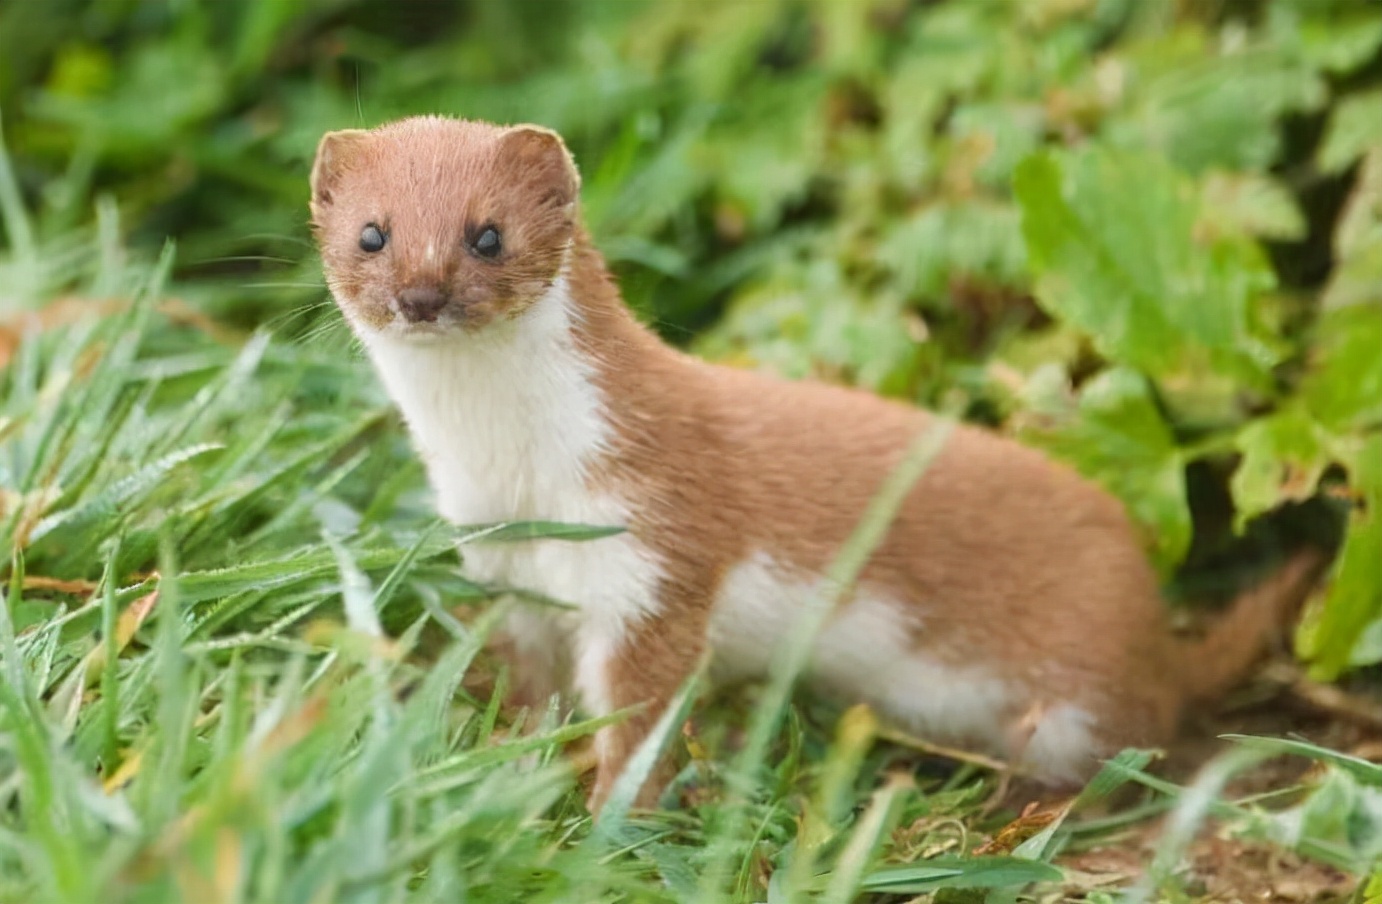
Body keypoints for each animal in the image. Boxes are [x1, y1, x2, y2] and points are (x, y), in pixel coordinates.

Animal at [308, 115, 1321, 812]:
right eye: (371, 232)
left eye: (487, 233)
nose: (422, 294)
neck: (516, 467)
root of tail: (1155, 625)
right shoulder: (500, 561)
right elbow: (530, 687)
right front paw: (510, 764)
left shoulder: (653, 554)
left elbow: (642, 716)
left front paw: (604, 822)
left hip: (1078, 688)